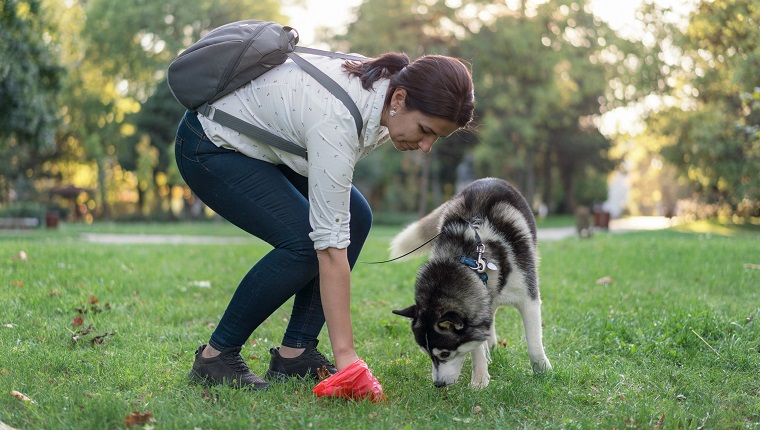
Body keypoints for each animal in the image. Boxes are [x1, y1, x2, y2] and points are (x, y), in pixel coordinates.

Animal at [392, 176, 552, 388]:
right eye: (427, 354)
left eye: (445, 354)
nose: (438, 384)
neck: (470, 260)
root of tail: (488, 179)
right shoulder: (478, 308)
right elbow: (476, 346)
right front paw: (480, 380)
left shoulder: (528, 297)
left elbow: (533, 341)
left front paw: (542, 370)